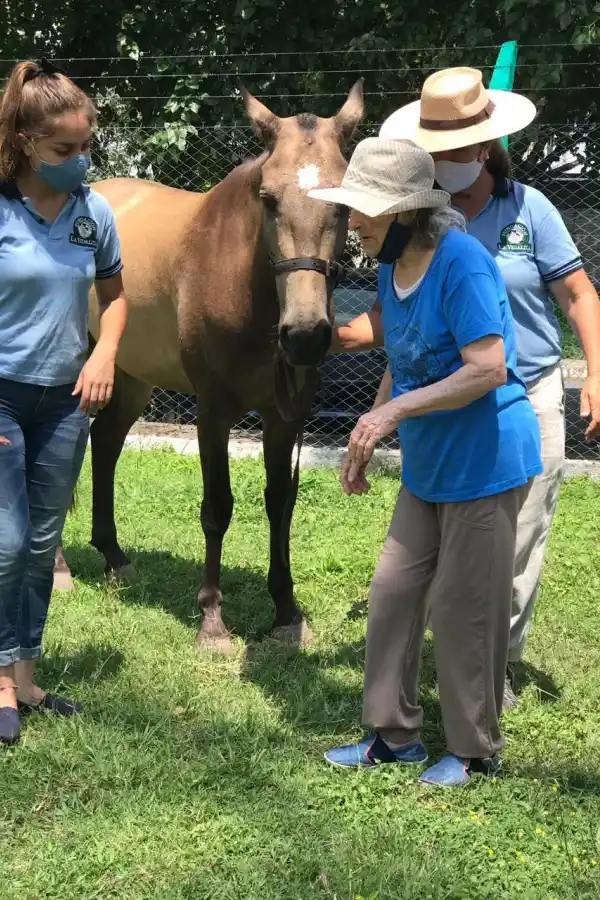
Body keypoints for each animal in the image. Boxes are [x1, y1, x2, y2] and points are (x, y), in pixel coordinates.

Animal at [53, 81, 365, 652]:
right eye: (268, 198)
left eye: (344, 204)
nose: (304, 335)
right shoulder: (213, 413)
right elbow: (217, 507)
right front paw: (213, 619)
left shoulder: (284, 416)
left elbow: (279, 502)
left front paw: (286, 612)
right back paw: (62, 568)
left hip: (129, 377)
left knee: (105, 443)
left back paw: (114, 557)